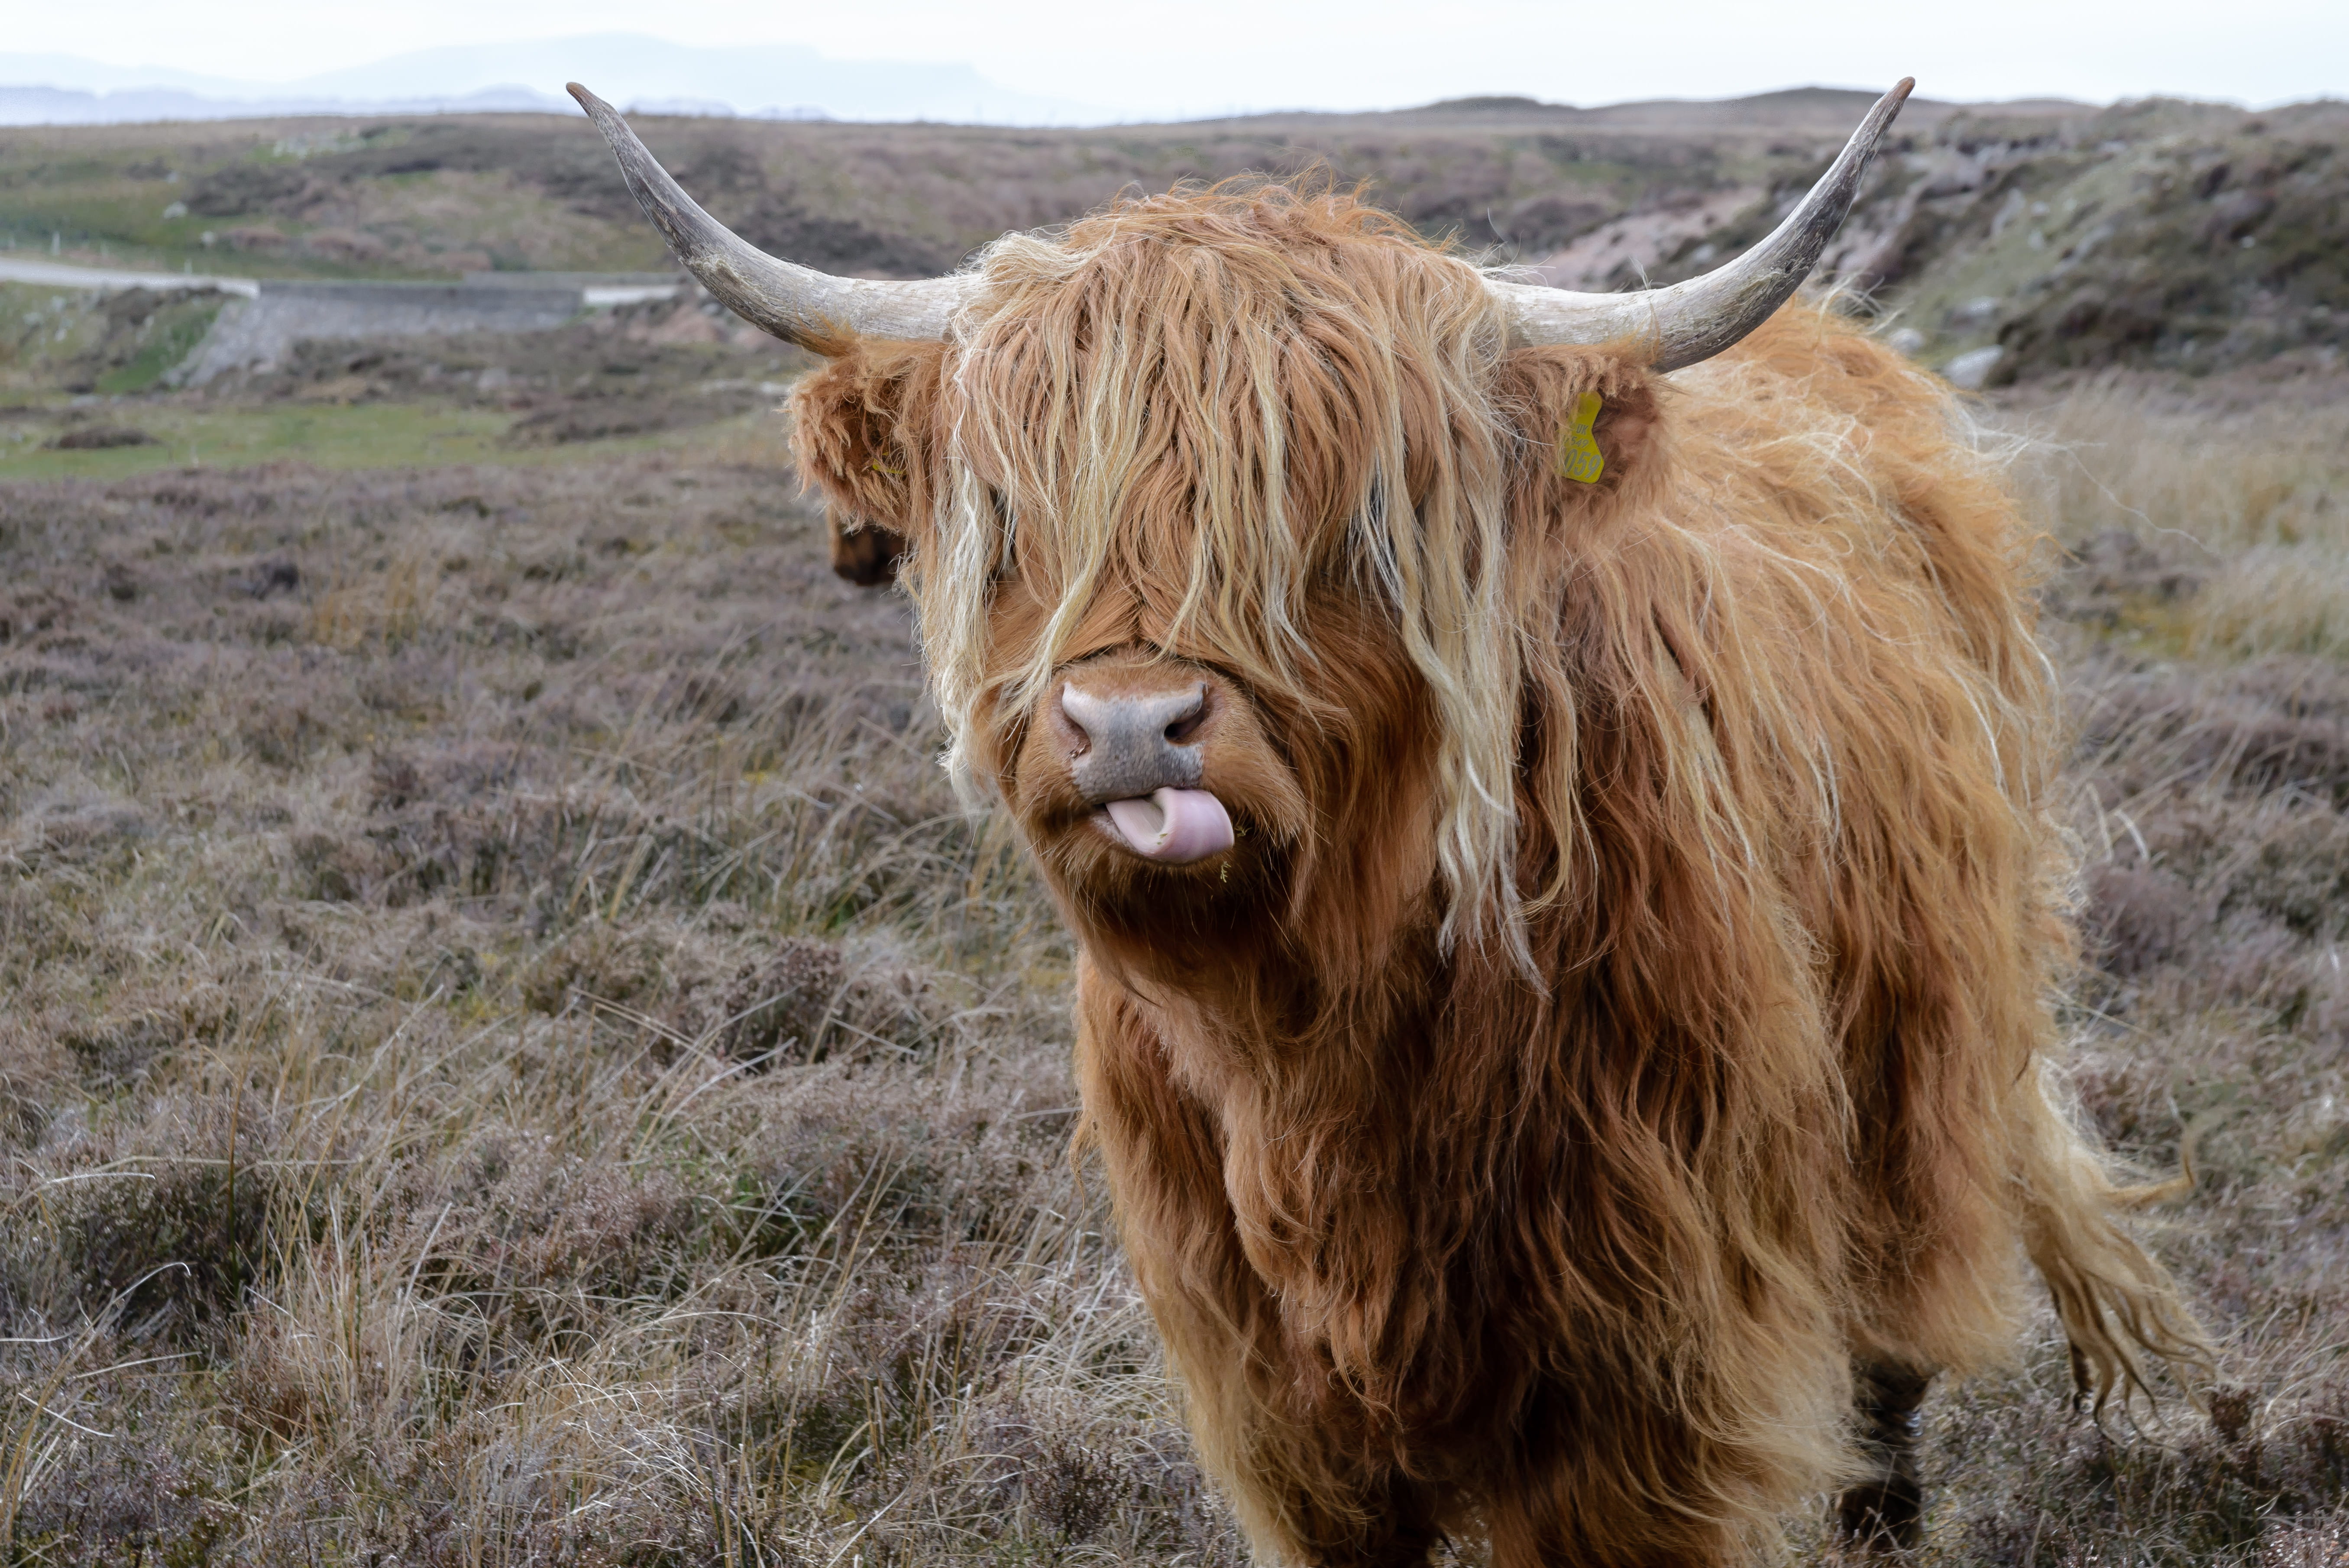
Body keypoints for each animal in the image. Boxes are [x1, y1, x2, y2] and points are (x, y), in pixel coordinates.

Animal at [572, 80, 2209, 1568]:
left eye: (1345, 519)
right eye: (1014, 518)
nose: (1129, 728)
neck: (1317, 1043)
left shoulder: (1644, 1381)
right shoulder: (1273, 1397)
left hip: (1919, 1063)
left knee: (1889, 1360)